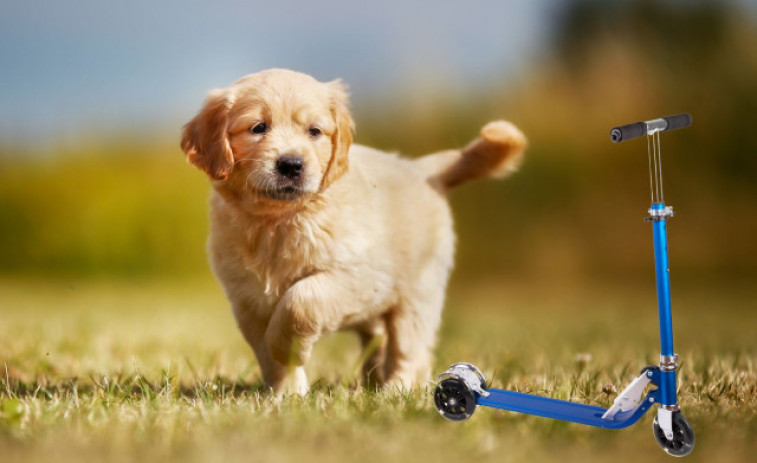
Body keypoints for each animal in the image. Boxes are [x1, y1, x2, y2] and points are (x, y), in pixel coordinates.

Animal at [182, 69, 524, 396]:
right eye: (258, 128)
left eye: (315, 131)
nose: (291, 165)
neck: (278, 221)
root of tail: (420, 169)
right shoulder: (246, 300)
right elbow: (267, 353)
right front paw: (286, 393)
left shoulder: (357, 276)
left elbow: (299, 302)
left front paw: (289, 350)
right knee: (380, 341)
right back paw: (374, 383)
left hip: (418, 294)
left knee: (410, 350)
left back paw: (395, 391)